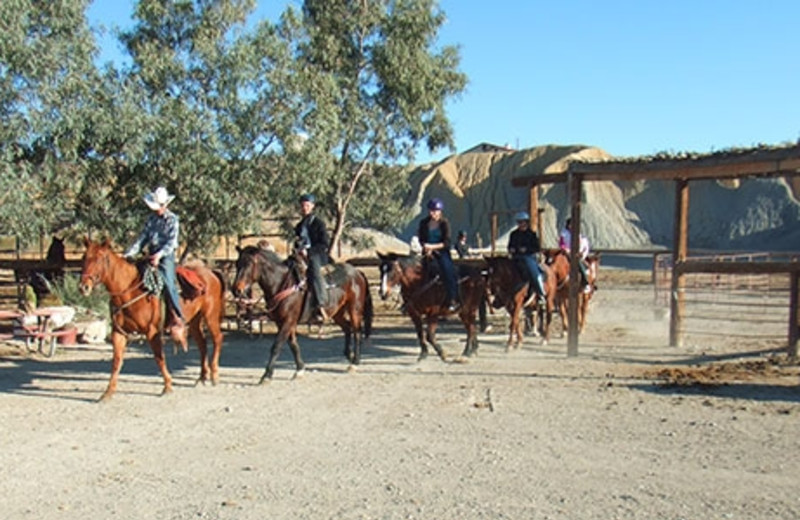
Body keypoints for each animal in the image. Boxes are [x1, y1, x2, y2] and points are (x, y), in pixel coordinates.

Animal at [77, 238, 225, 400]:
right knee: (202, 344)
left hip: (210, 315)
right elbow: (116, 361)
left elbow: (159, 357)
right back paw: (202, 378)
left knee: (217, 339)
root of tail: (211, 272)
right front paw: (107, 393)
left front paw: (167, 386)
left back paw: (214, 375)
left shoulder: (152, 331)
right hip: (194, 320)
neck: (130, 291)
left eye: (100, 258)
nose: (83, 287)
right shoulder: (118, 332)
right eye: (83, 257)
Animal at [228, 244, 372, 382]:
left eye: (249, 264)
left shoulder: (288, 321)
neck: (283, 283)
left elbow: (277, 346)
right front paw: (299, 370)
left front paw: (267, 375)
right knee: (347, 328)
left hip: (355, 309)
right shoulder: (282, 322)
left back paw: (355, 362)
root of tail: (357, 272)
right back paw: (349, 354)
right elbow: (293, 344)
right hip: (337, 313)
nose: (236, 290)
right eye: (237, 263)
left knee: (357, 331)